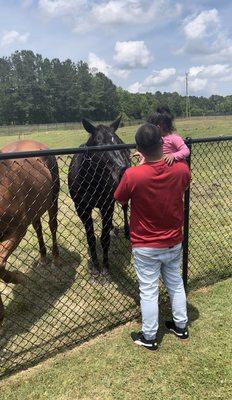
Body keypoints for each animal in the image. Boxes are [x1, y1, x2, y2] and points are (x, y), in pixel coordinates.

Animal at [0, 139, 59, 332]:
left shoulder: (17, 230)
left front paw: (19, 278)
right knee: (38, 227)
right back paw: (42, 258)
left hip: (53, 199)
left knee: (52, 226)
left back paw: (55, 259)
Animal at [68, 117, 130, 276]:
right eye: (99, 144)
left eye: (117, 143)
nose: (123, 170)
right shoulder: (82, 209)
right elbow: (91, 239)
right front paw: (95, 268)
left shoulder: (107, 205)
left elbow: (104, 238)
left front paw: (105, 268)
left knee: (125, 207)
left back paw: (127, 232)